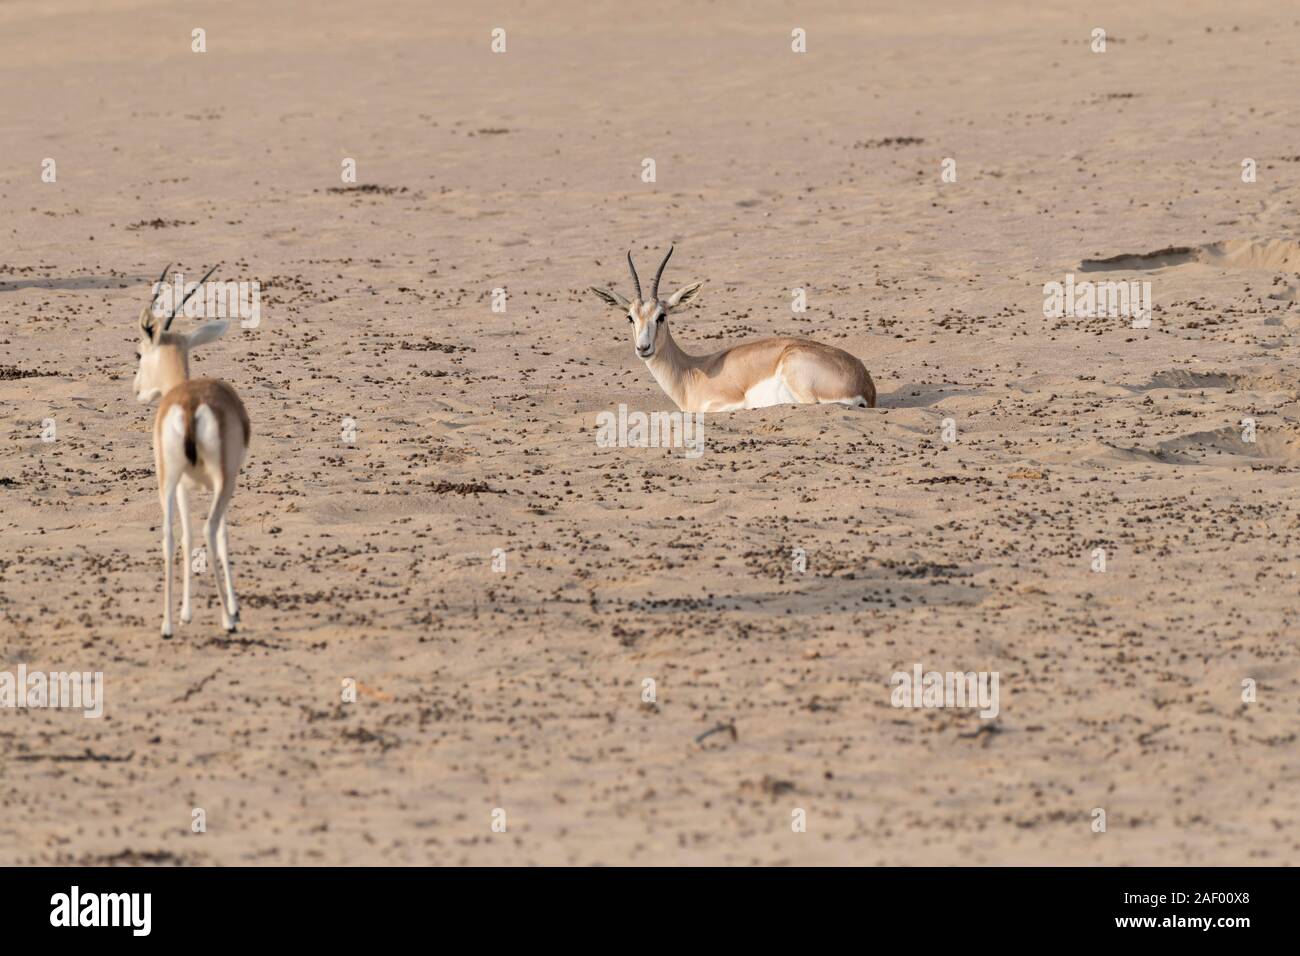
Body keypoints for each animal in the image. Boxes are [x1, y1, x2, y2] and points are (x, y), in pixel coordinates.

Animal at [133, 264, 250, 637]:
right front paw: (233, 609)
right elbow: (223, 535)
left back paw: (168, 626)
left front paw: (185, 613)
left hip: (167, 481)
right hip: (222, 481)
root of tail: (189, 403)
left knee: (170, 536)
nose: (137, 389)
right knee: (211, 530)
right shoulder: (226, 481)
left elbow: (184, 536)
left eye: (139, 353)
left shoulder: (183, 486)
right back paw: (228, 620)